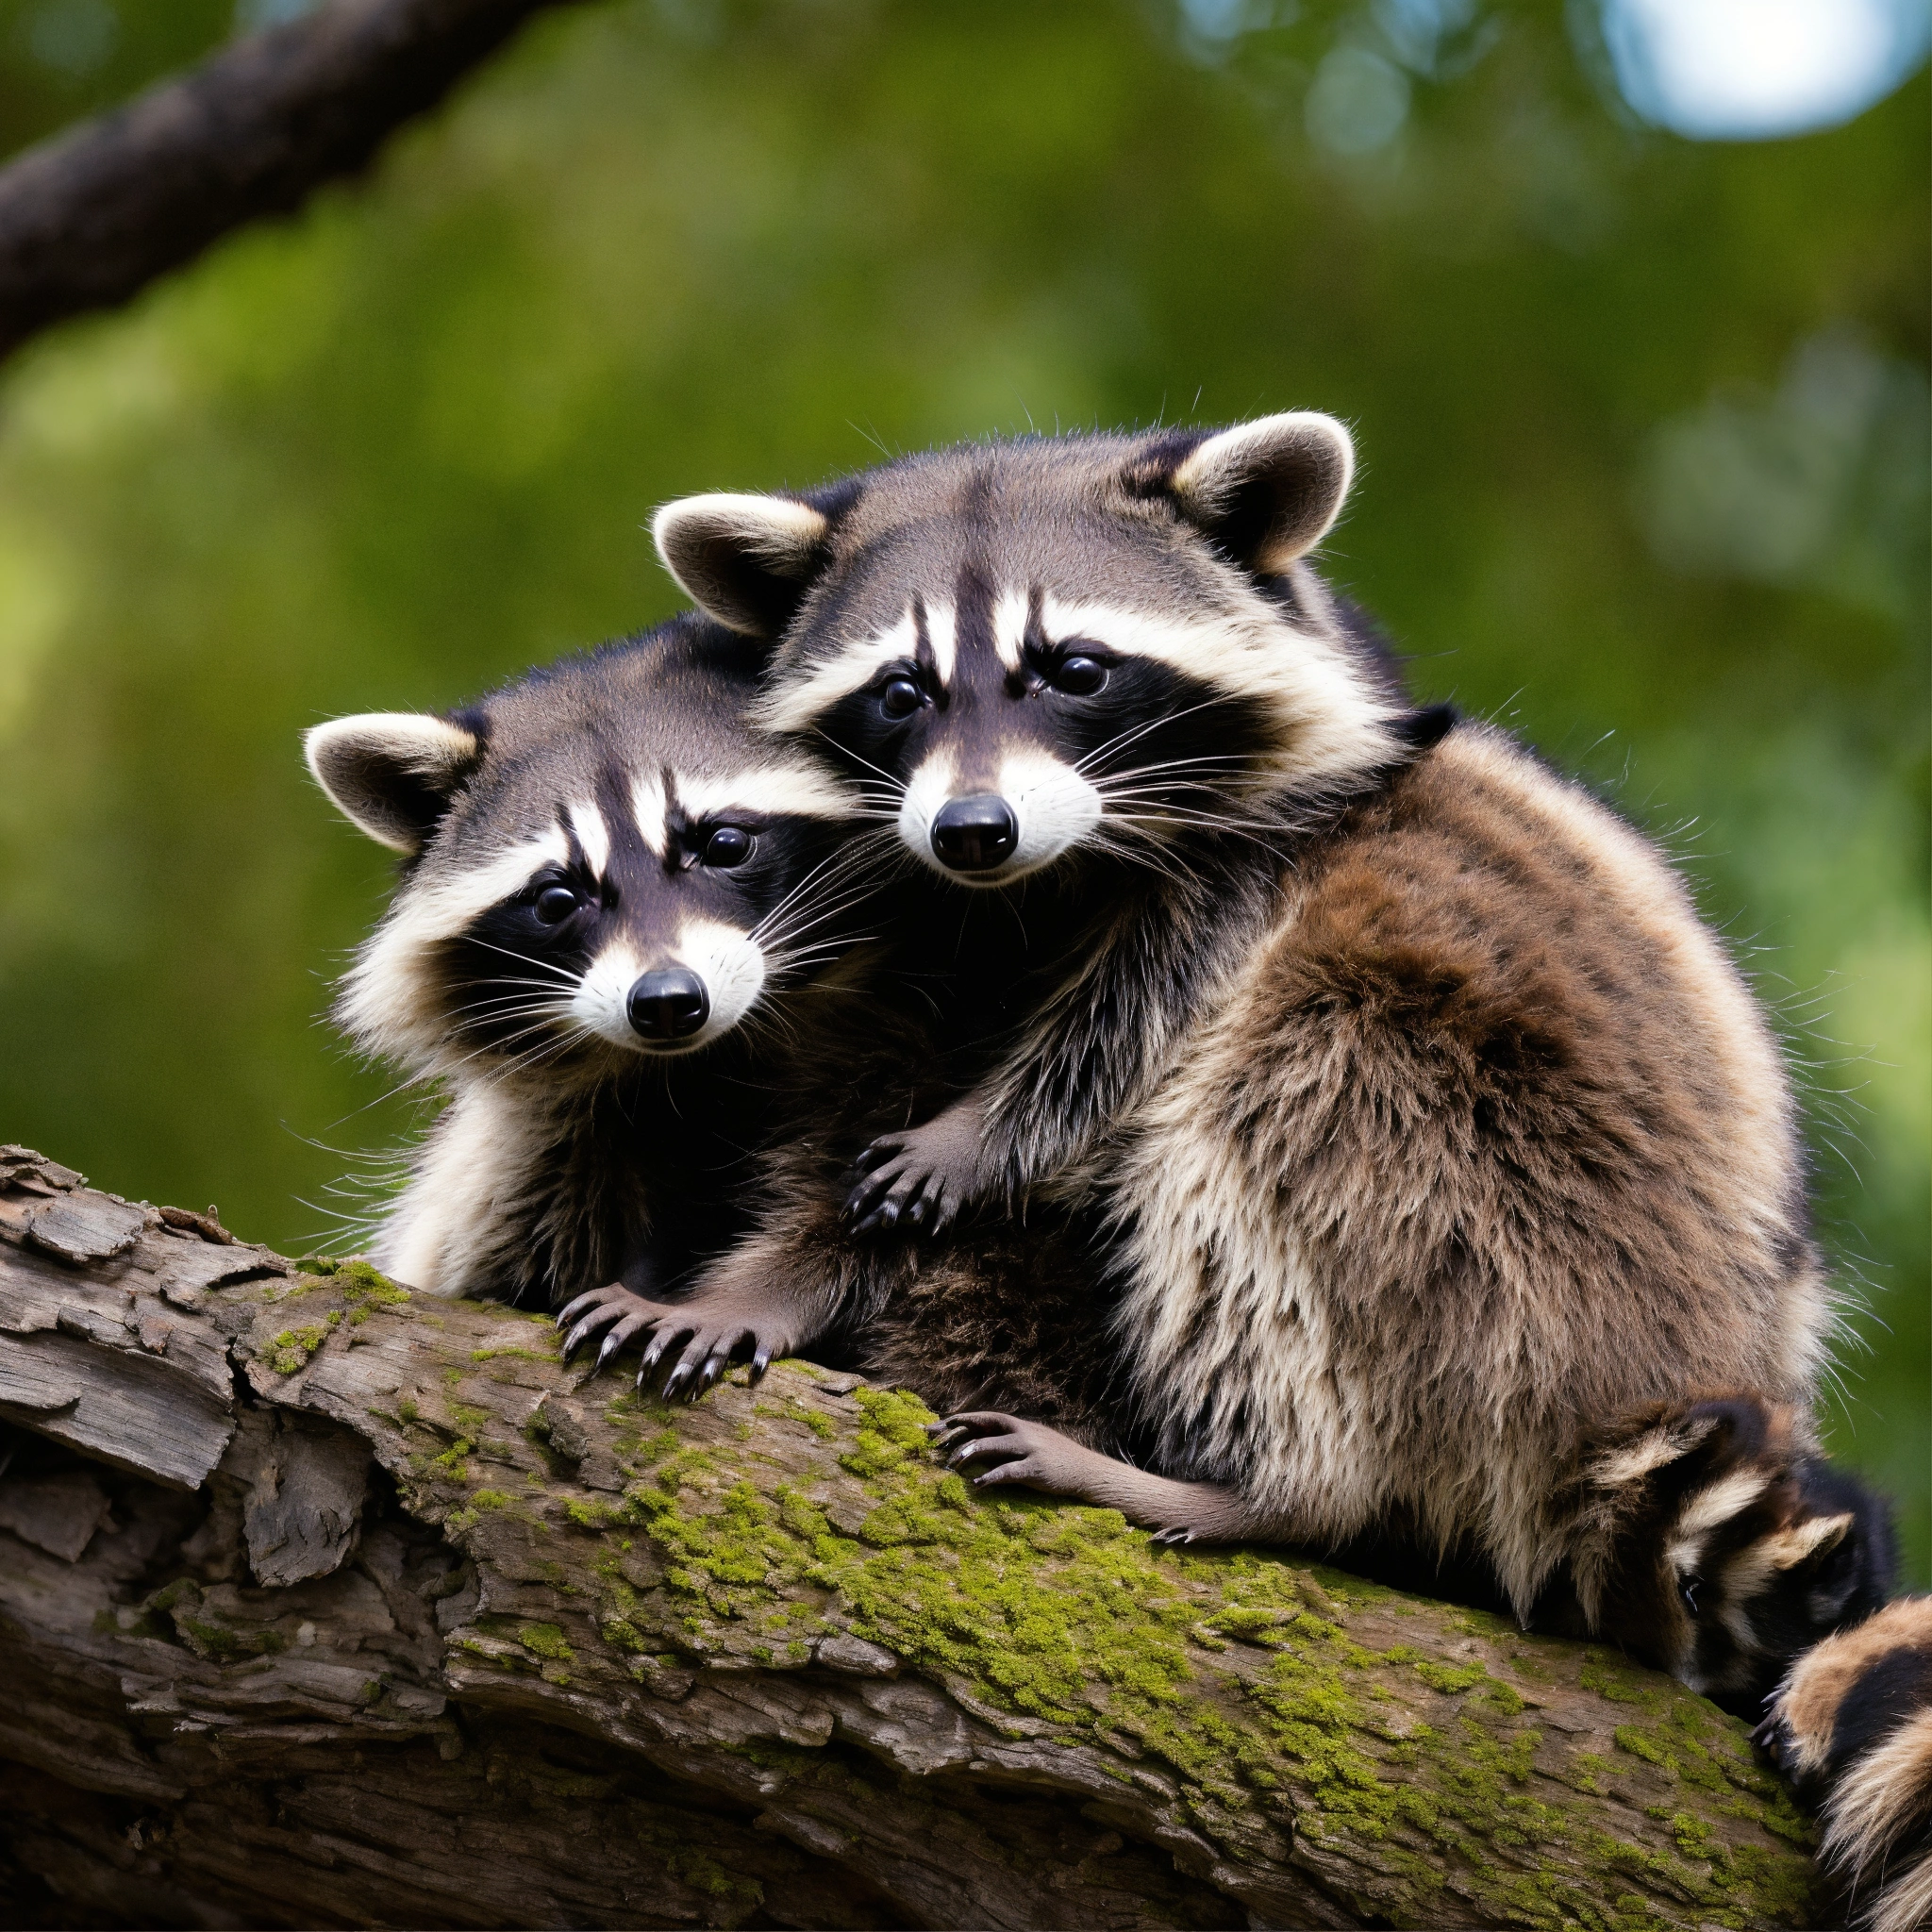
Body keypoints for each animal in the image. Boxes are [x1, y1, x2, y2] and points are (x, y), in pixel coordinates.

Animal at [612, 413, 1891, 1706]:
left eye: (1074, 669)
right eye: (899, 692)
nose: (971, 830)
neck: (1028, 890)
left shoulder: (1262, 867)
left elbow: (1117, 1047)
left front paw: (981, 1136)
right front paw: (764, 1278)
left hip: (1514, 1217)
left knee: (1270, 1118)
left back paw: (1276, 1493)